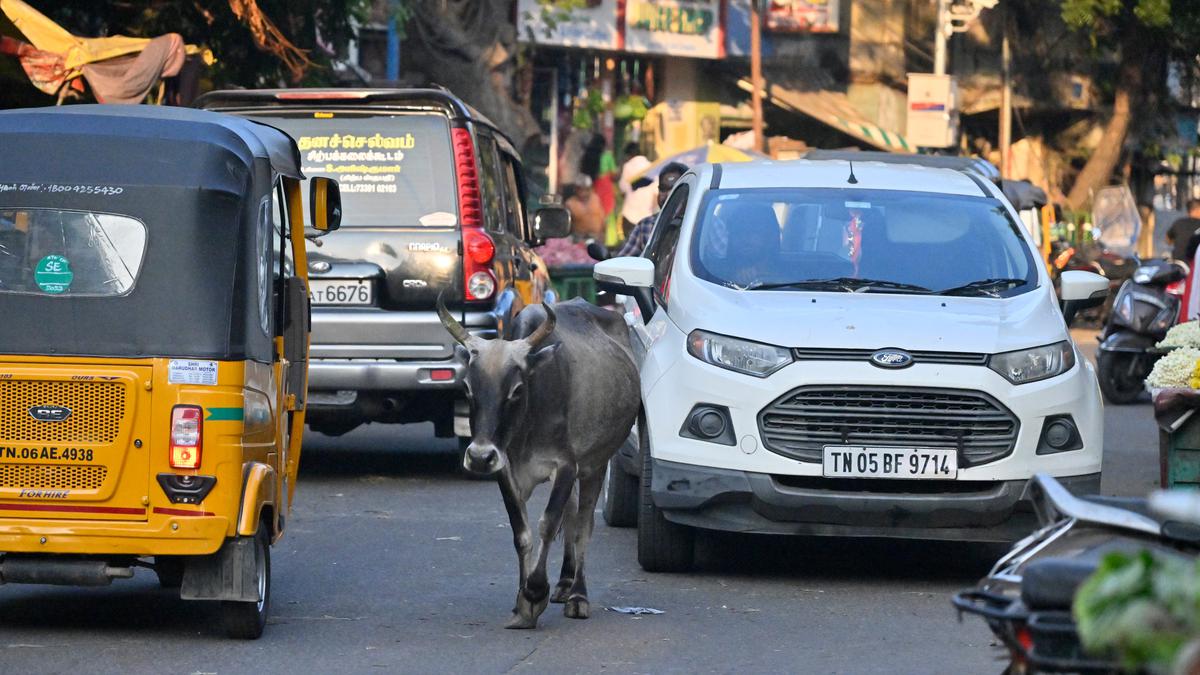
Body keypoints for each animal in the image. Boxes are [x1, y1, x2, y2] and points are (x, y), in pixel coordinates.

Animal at [441, 296, 643, 629]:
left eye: (516, 389)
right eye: (467, 388)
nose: (480, 457)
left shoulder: (566, 466)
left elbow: (547, 524)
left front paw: (535, 593)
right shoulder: (506, 469)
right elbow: (521, 534)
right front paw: (521, 603)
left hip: (596, 463)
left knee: (583, 525)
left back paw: (577, 595)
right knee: (571, 515)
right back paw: (564, 583)